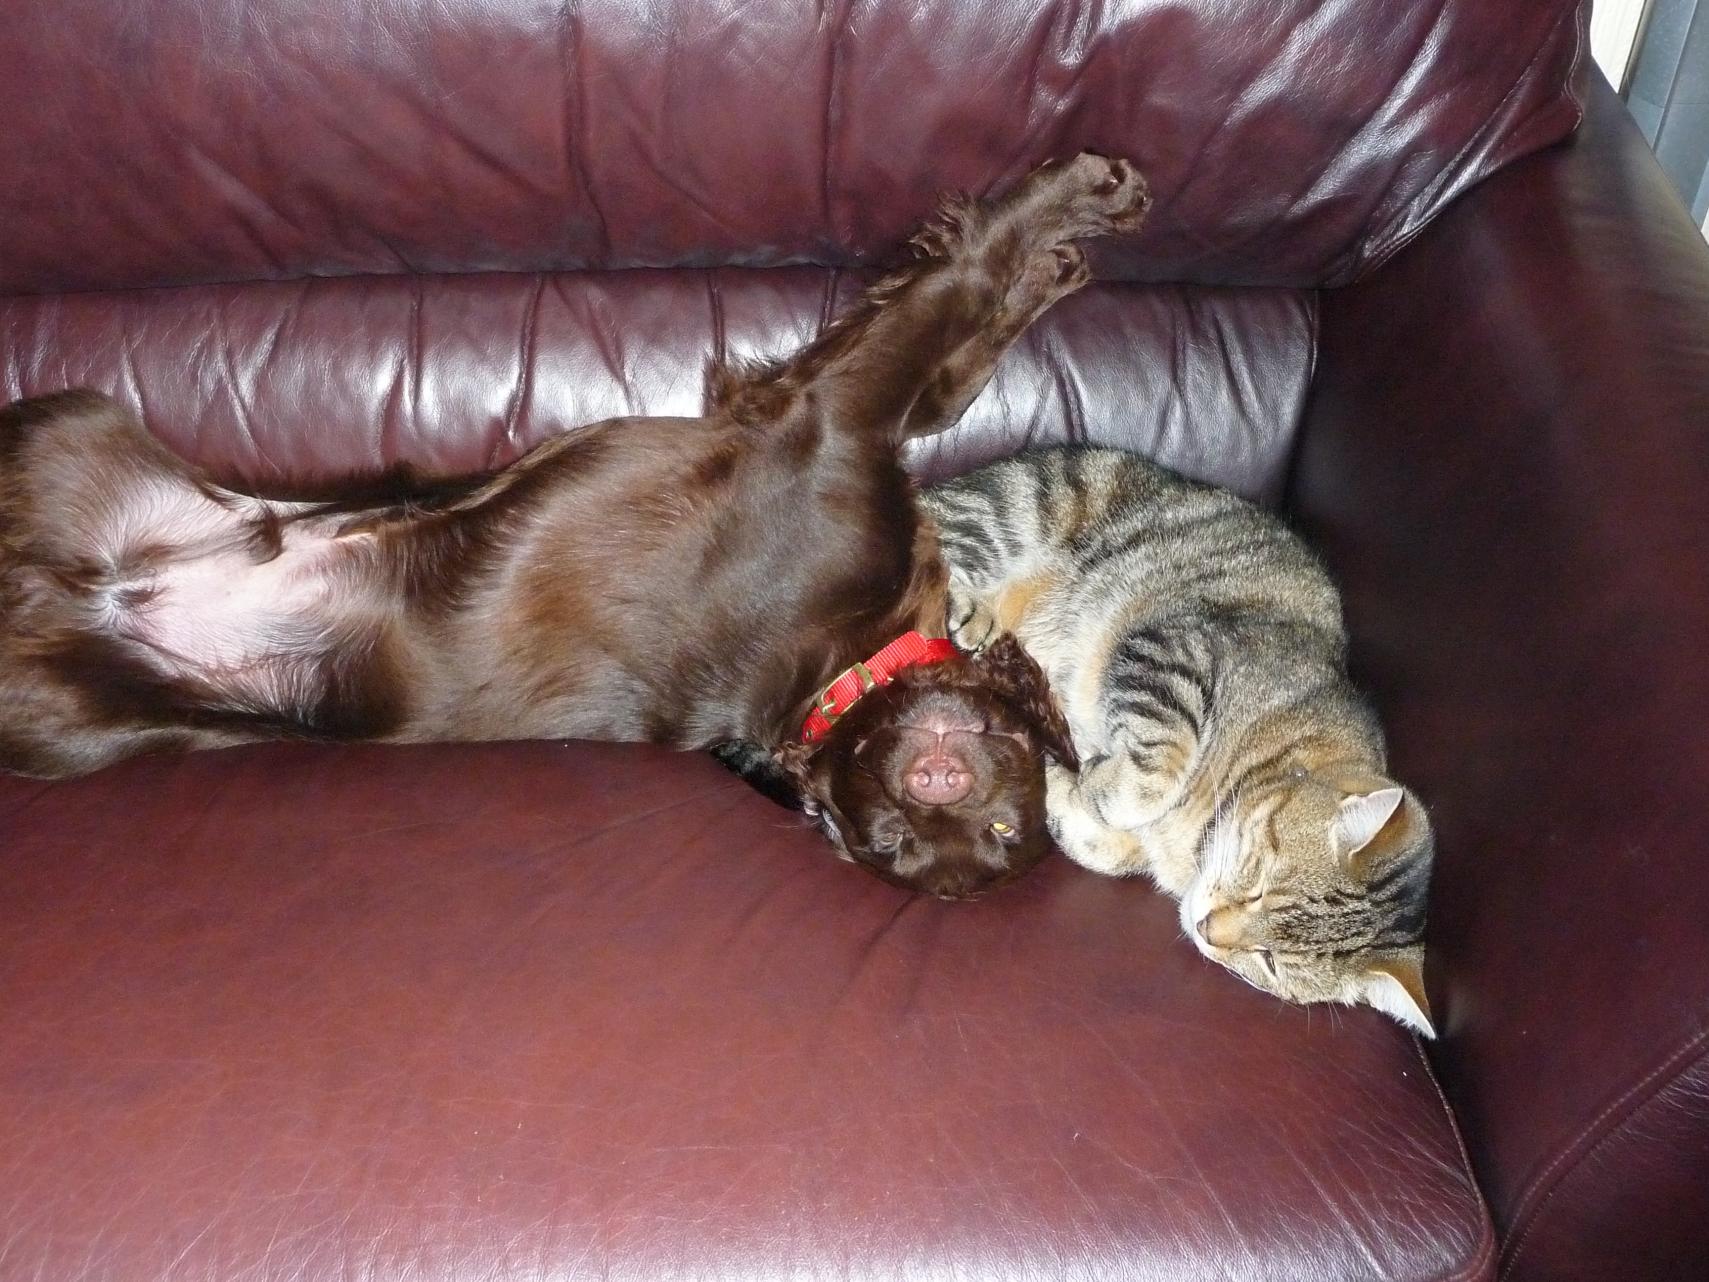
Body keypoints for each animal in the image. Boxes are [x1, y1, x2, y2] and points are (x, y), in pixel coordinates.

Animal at [0, 153, 1150, 897]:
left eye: (963, 836)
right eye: (920, 833)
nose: (933, 782)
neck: (831, 670)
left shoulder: (834, 421)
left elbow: (957, 324)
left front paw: (1061, 233)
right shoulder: (837, 416)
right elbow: (962, 314)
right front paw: (1076, 212)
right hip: (73, 422)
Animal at [923, 447, 1435, 1035]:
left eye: (1270, 962)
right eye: (1259, 882)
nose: (1208, 927)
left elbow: (1103, 842)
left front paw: (1066, 783)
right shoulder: (1176, 656)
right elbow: (1150, 777)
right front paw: (1097, 778)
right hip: (1019, 508)